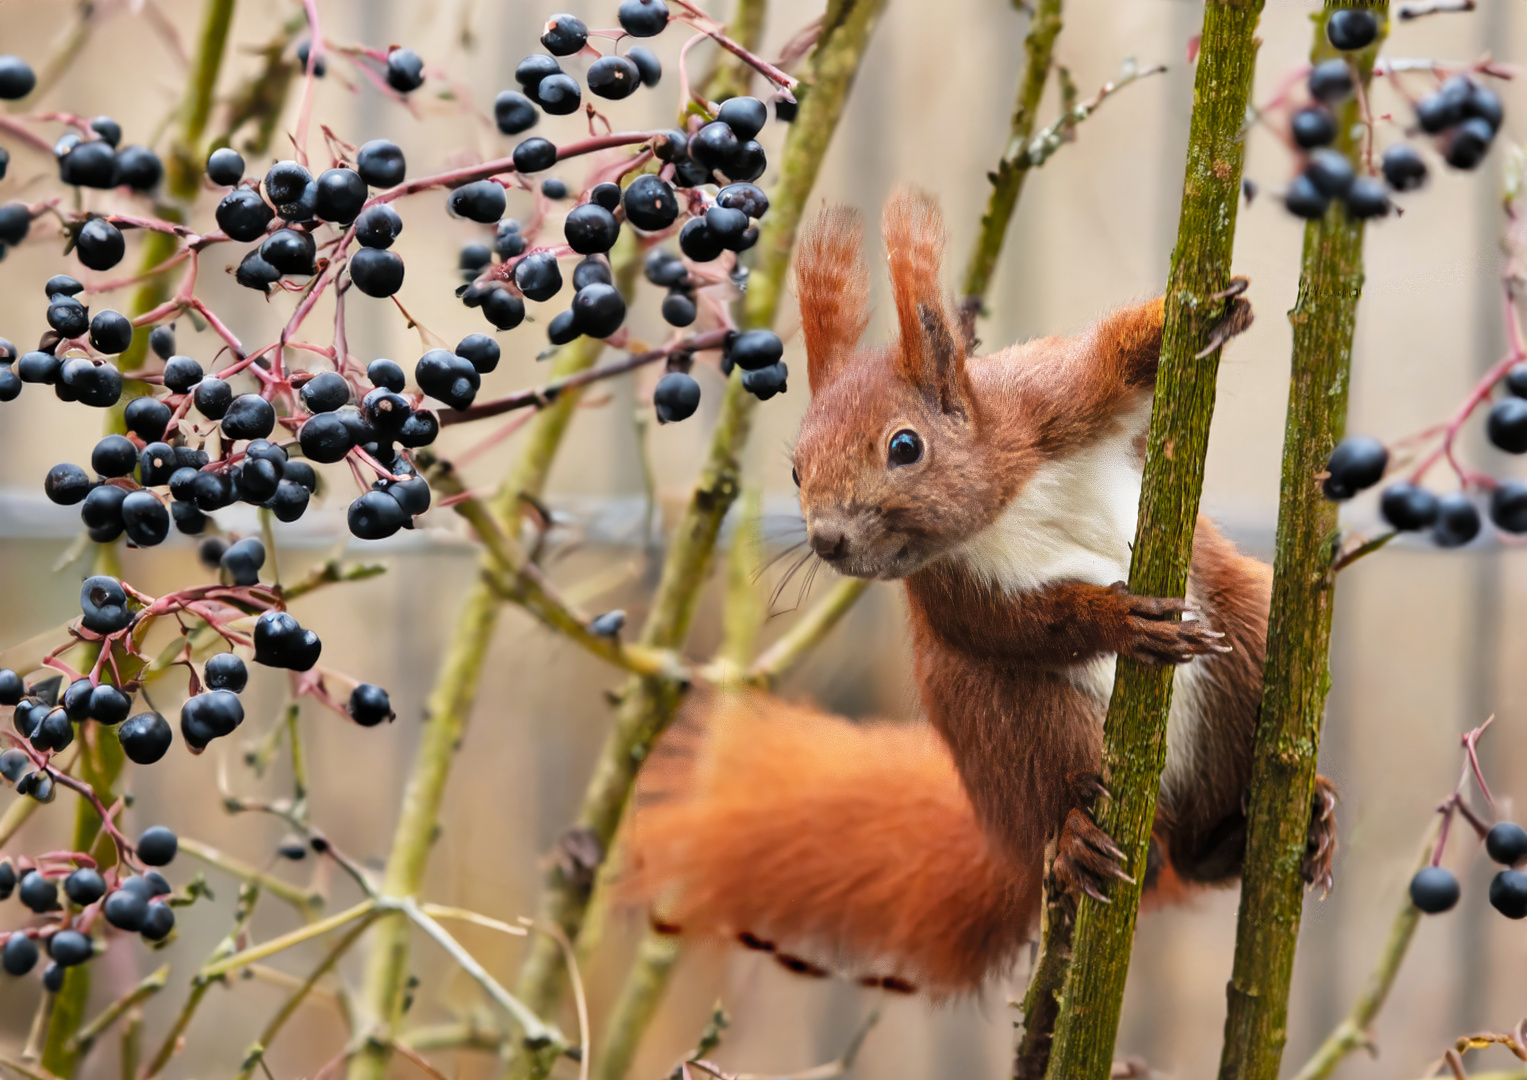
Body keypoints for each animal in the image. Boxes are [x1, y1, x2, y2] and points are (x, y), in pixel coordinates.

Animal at [619, 192, 1337, 995]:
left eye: (904, 446)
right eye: (797, 470)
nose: (827, 540)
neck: (1000, 498)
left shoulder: (1048, 401)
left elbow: (1111, 360)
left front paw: (1209, 309)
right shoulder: (948, 589)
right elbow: (1022, 625)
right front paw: (1116, 616)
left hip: (1241, 638)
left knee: (1205, 831)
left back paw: (1277, 824)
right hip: (1021, 725)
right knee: (1081, 805)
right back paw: (1078, 841)